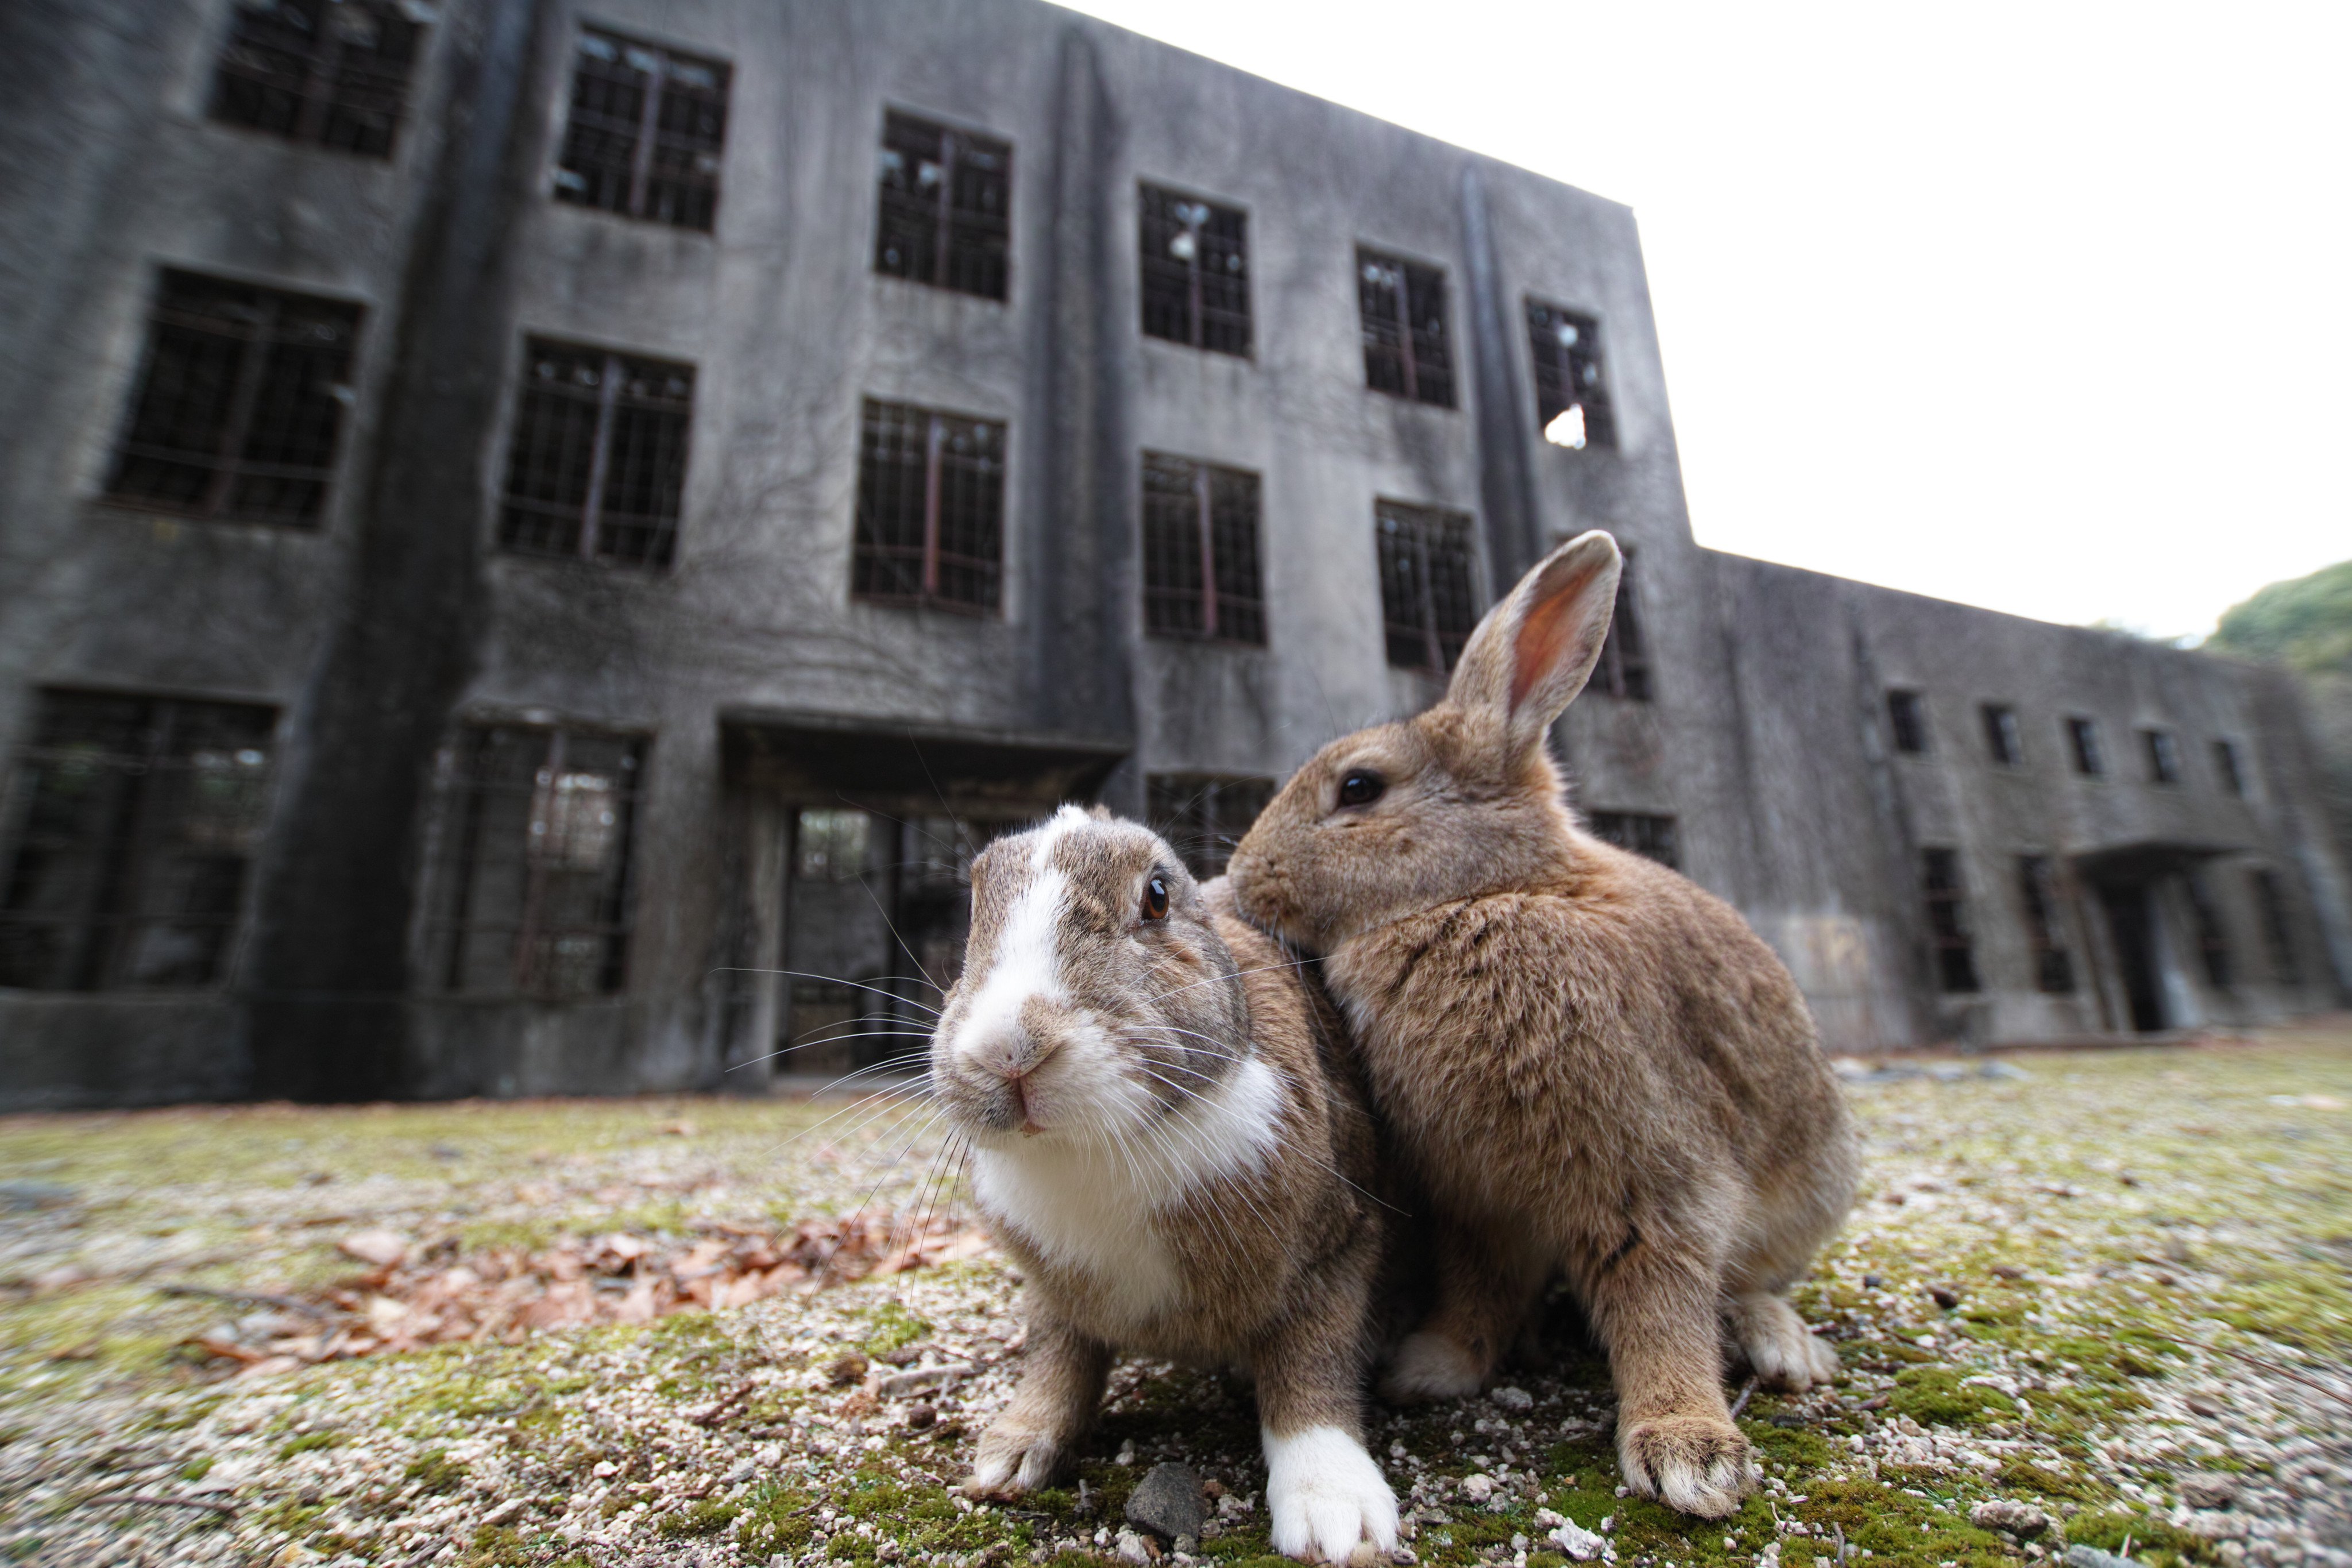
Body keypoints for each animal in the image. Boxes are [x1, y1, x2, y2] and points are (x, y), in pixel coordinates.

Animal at [922, 808, 1392, 1561]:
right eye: (975, 907)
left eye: (1158, 898)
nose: (1010, 1050)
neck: (1101, 1148)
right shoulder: (1055, 1295)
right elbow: (1057, 1360)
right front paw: (1012, 1456)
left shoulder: (1336, 1252)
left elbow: (1311, 1371)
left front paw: (1337, 1519)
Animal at [1232, 531, 1853, 1523]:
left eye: (1359, 787)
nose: (1243, 876)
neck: (1480, 893)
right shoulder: (1478, 1196)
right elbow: (1480, 1284)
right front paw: (1432, 1367)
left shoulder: (1646, 1173)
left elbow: (1658, 1302)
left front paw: (1687, 1451)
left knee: (1750, 1279)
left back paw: (1781, 1346)